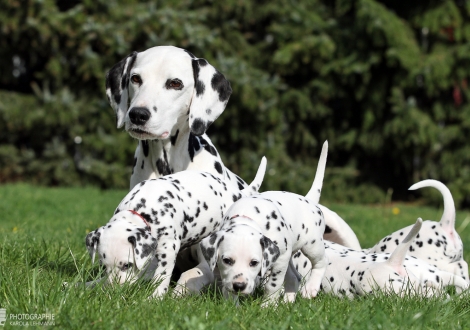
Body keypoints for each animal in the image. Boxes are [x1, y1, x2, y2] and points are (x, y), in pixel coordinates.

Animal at [85, 157, 266, 296]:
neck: (142, 210)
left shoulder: (168, 249)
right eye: (103, 266)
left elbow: (161, 277)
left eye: (126, 265)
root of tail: (239, 193)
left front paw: (154, 298)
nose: (113, 290)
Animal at [200, 141, 328, 304]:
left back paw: (311, 288)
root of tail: (309, 200)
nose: (239, 286)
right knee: (294, 277)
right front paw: (231, 304)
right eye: (227, 260)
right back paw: (288, 301)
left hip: (312, 245)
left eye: (254, 263)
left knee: (321, 262)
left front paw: (268, 305)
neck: (249, 215)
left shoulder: (280, 259)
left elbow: (273, 285)